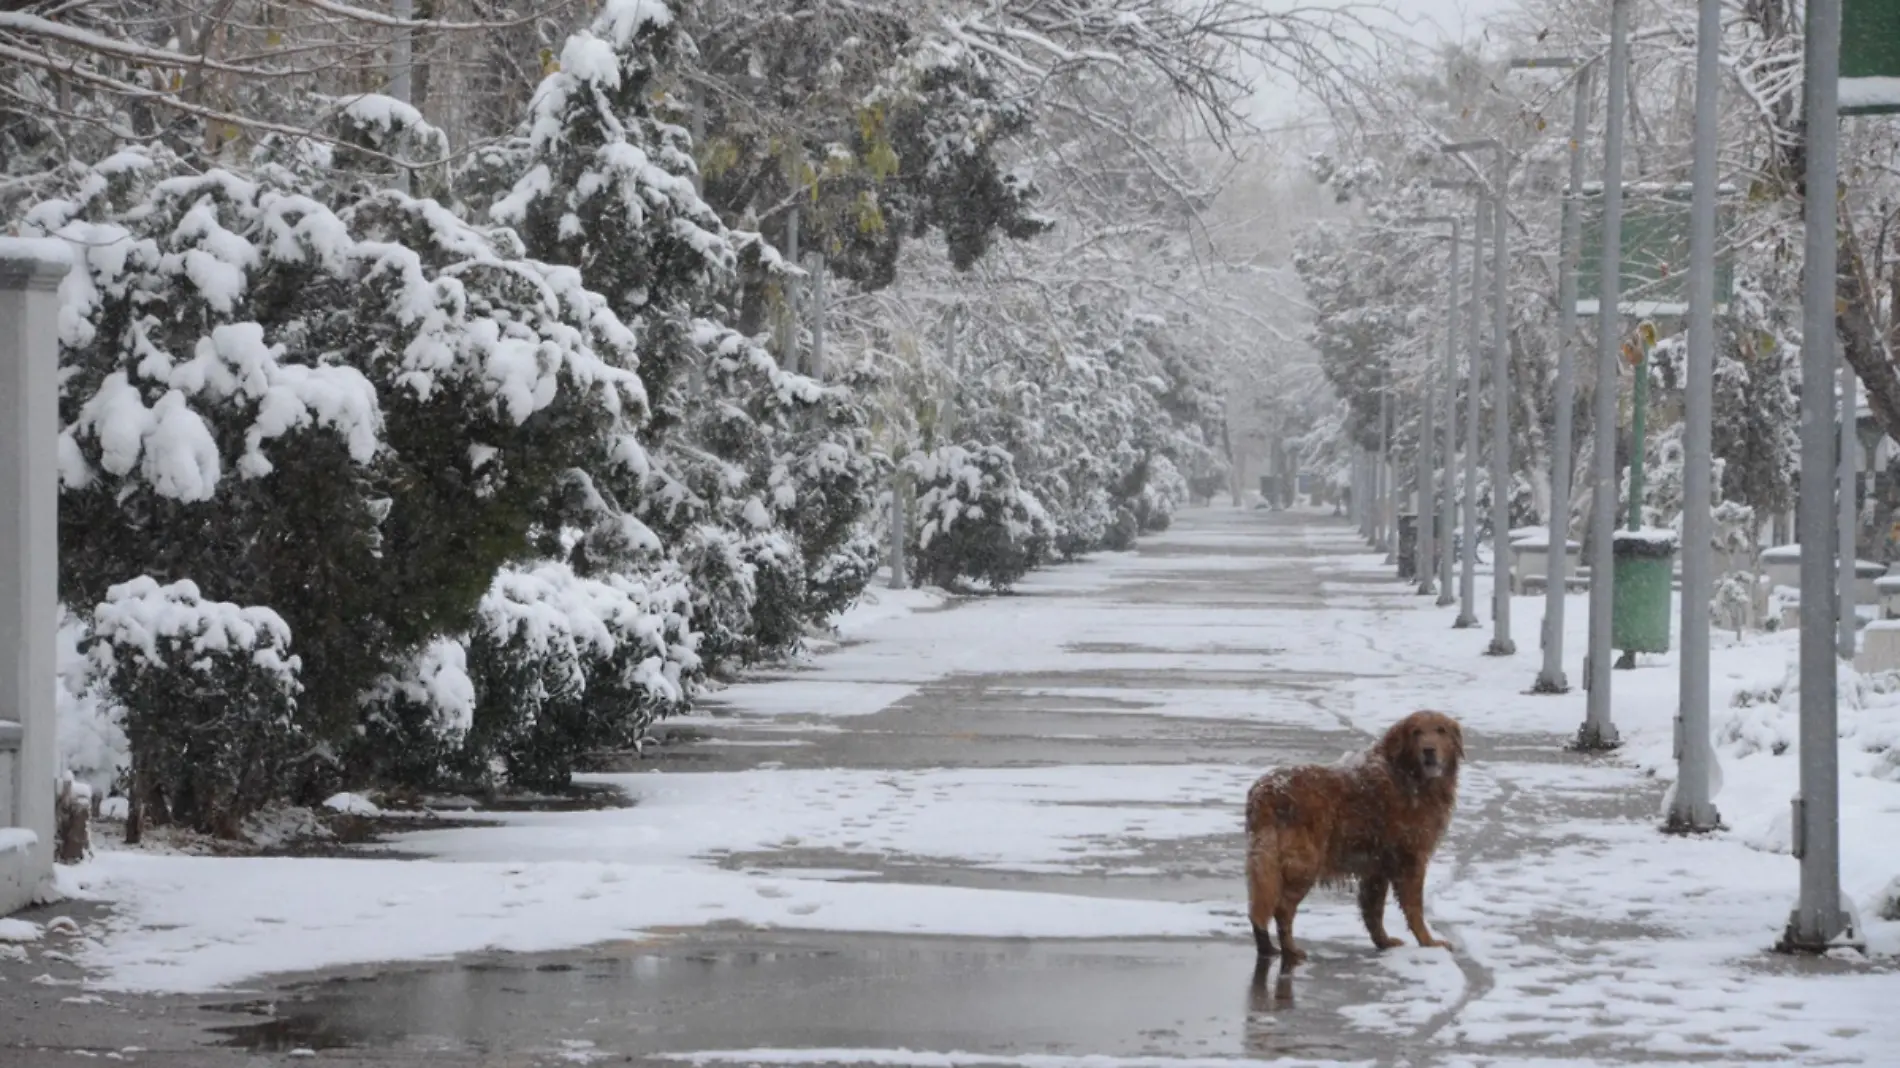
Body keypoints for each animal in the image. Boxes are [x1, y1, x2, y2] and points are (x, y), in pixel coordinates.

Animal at [1238, 710, 1459, 961]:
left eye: (1441, 730)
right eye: (1416, 732)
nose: (1429, 750)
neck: (1407, 774)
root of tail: (1266, 792)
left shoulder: (1376, 867)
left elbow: (1373, 911)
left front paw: (1383, 942)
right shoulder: (1411, 859)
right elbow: (1414, 909)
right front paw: (1429, 943)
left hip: (1266, 861)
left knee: (1258, 906)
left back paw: (1267, 946)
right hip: (1304, 864)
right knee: (1282, 909)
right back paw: (1290, 950)